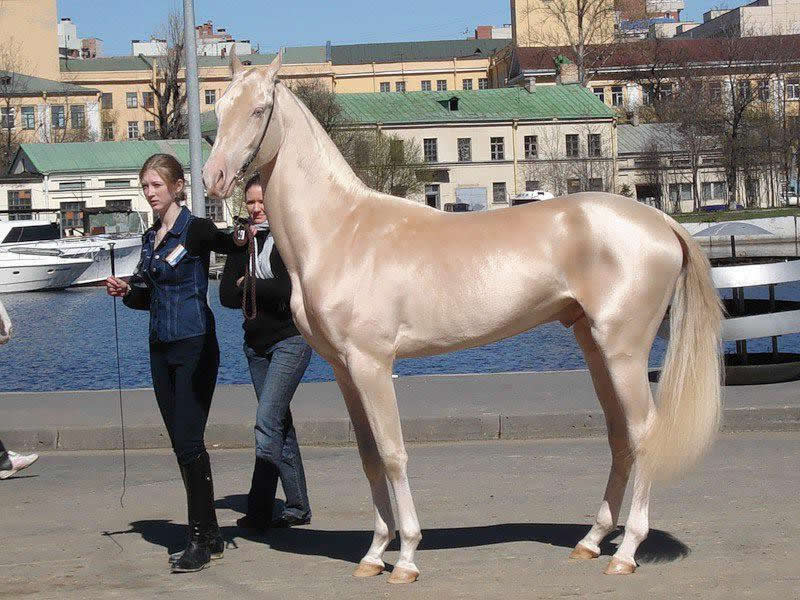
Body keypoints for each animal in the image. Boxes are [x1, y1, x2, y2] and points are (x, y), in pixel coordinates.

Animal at [202, 54, 724, 584]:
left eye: (259, 109)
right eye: (220, 108)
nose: (213, 177)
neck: (342, 230)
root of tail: (662, 222)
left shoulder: (372, 364)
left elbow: (393, 454)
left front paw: (406, 557)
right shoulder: (345, 371)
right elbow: (369, 456)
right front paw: (374, 553)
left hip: (624, 352)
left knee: (644, 433)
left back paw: (626, 551)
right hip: (596, 350)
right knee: (620, 436)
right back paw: (592, 541)